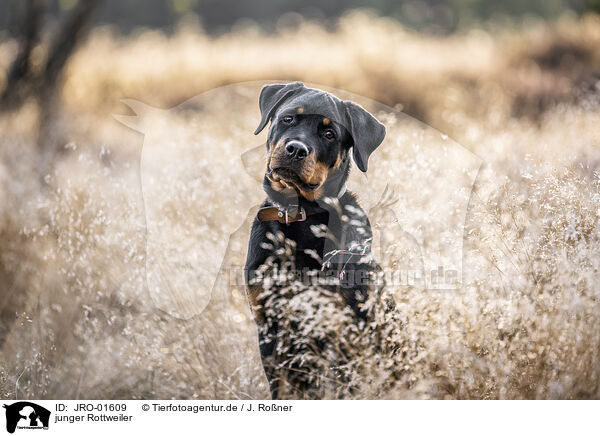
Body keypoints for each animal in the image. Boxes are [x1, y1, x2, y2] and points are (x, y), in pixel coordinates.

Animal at [246, 82, 386, 398]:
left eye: (329, 133)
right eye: (288, 118)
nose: (296, 149)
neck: (303, 217)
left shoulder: (344, 328)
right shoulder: (269, 327)